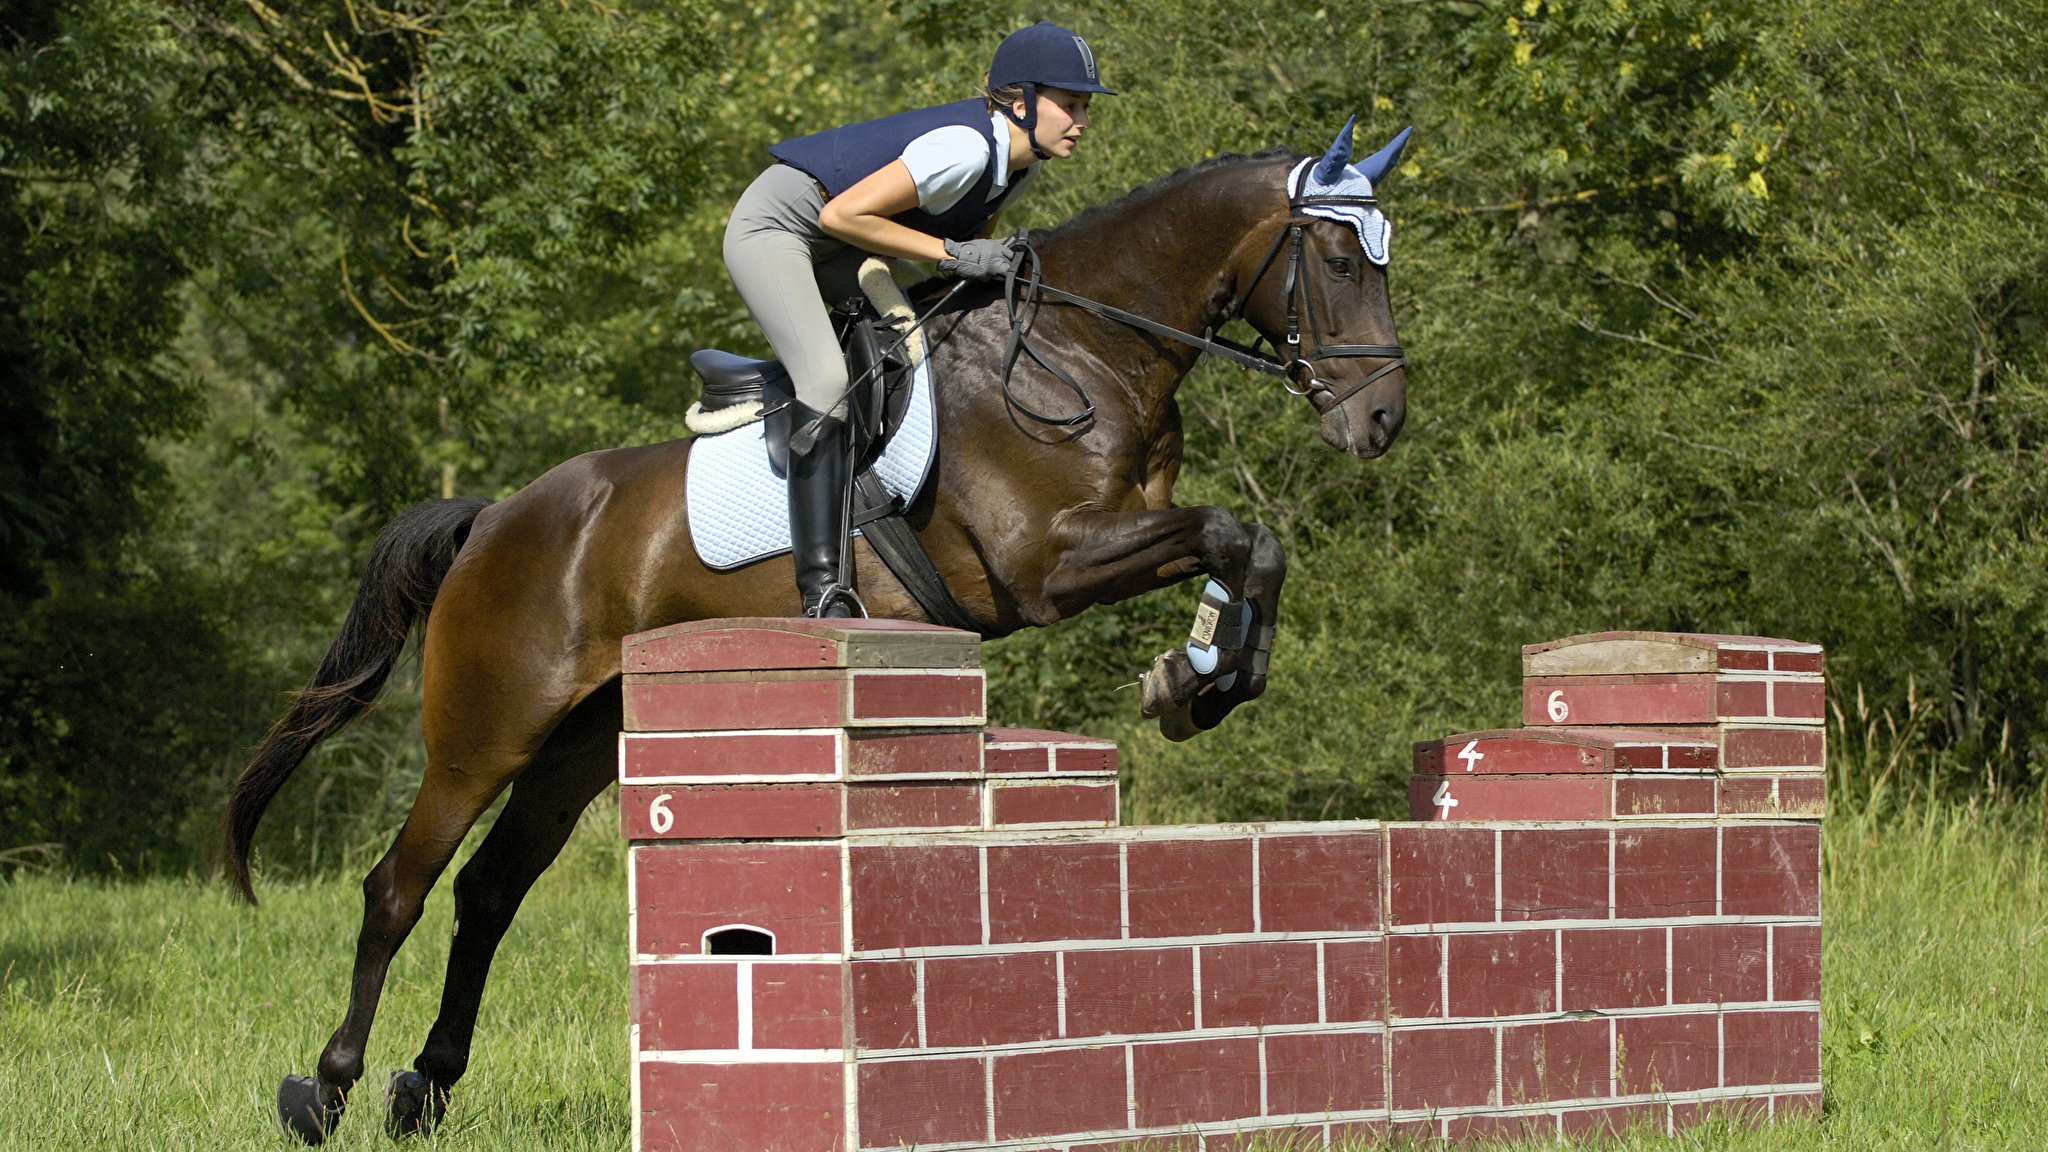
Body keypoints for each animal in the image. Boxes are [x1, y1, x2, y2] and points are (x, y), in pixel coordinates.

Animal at [228, 127, 1409, 1139]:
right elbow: (1228, 531)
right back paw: (325, 1092)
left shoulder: (1114, 537)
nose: (1381, 421)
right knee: (399, 890)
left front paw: (1204, 678)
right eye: (1337, 257)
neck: (1086, 343)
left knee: (488, 892)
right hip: (487, 731)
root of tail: (493, 520)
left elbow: (1250, 545)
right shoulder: (1048, 565)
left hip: (578, 745)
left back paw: (424, 1088)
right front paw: (1192, 678)